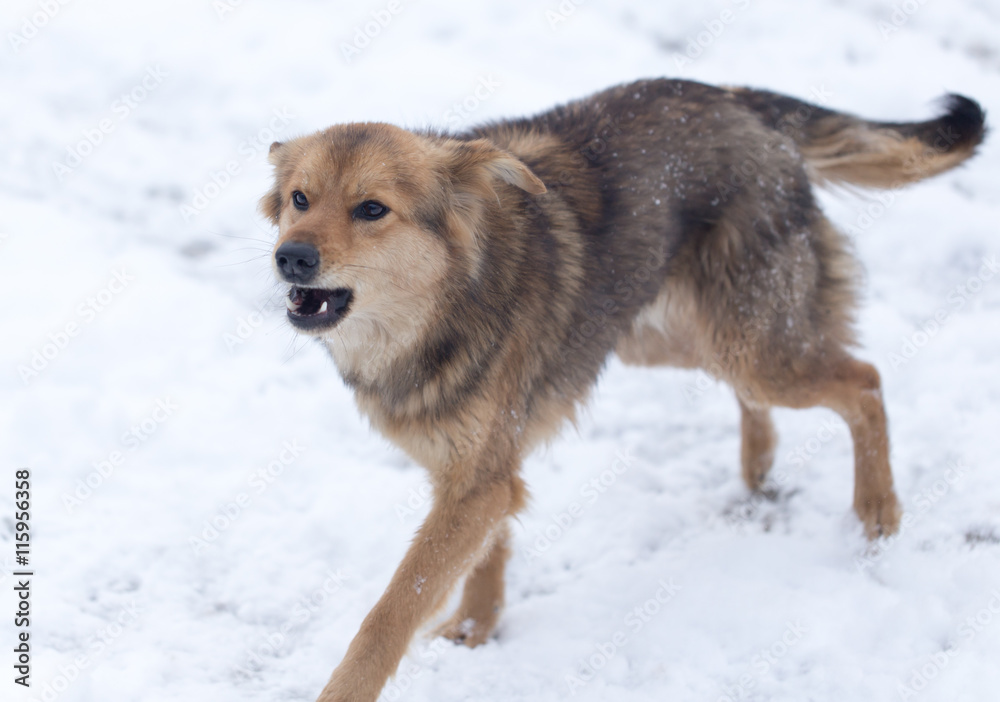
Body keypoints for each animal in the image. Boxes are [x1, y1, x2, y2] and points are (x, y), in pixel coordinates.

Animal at [260, 78, 984, 702]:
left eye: (372, 210)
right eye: (300, 199)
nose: (290, 258)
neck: (442, 309)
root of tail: (735, 98)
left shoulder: (478, 482)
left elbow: (386, 618)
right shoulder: (481, 474)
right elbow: (489, 554)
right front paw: (476, 629)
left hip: (750, 346)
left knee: (865, 382)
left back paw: (878, 513)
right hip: (668, 335)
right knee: (764, 389)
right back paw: (760, 465)